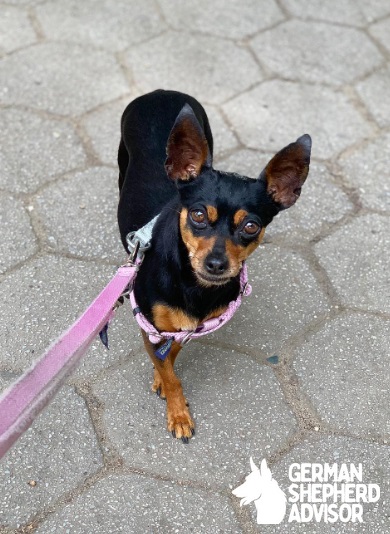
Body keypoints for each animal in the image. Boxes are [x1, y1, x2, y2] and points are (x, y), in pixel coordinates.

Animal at [116, 91, 310, 444]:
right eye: (197, 215)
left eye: (251, 226)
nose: (217, 263)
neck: (195, 287)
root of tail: (160, 91)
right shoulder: (151, 326)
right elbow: (170, 371)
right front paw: (177, 410)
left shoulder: (187, 328)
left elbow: (171, 354)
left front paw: (163, 378)